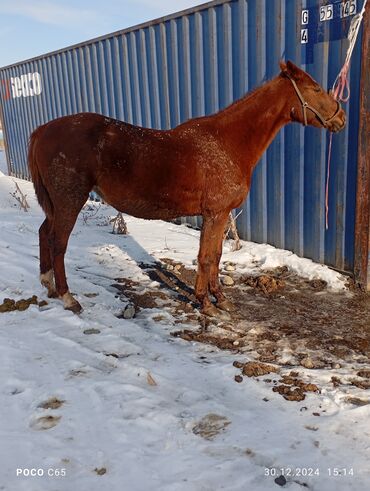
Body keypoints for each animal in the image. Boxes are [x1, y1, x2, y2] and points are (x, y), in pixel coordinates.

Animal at [28, 61, 346, 318]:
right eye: (316, 88)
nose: (341, 118)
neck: (228, 143)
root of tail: (41, 130)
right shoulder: (215, 213)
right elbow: (206, 257)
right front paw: (205, 303)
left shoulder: (220, 215)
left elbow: (216, 256)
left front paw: (221, 299)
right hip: (70, 200)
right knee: (58, 242)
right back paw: (68, 298)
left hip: (56, 204)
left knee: (44, 233)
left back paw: (48, 286)